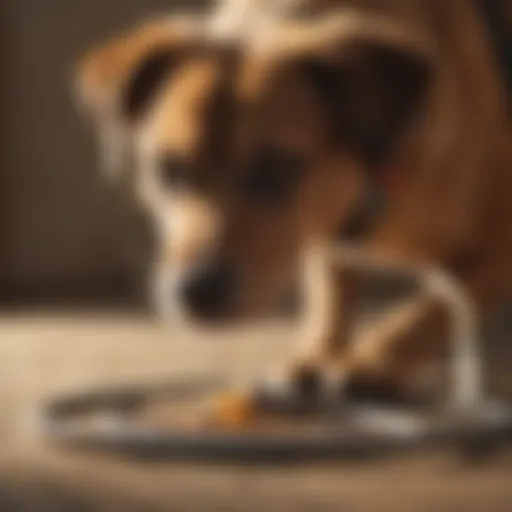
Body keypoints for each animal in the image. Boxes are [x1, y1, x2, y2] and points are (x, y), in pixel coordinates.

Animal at [76, 0, 512, 398]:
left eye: (278, 167)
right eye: (169, 170)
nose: (196, 291)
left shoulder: (496, 253)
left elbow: (431, 310)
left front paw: (374, 362)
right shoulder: (323, 236)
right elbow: (331, 291)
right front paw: (317, 352)